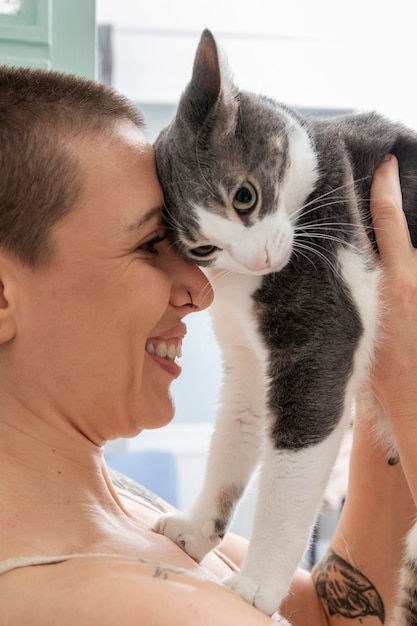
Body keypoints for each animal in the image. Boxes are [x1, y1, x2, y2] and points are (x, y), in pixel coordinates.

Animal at [153, 28, 416, 620]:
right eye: (201, 249)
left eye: (244, 196)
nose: (259, 262)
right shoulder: (249, 362)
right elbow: (237, 432)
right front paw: (196, 530)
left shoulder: (323, 330)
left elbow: (292, 468)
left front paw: (257, 587)